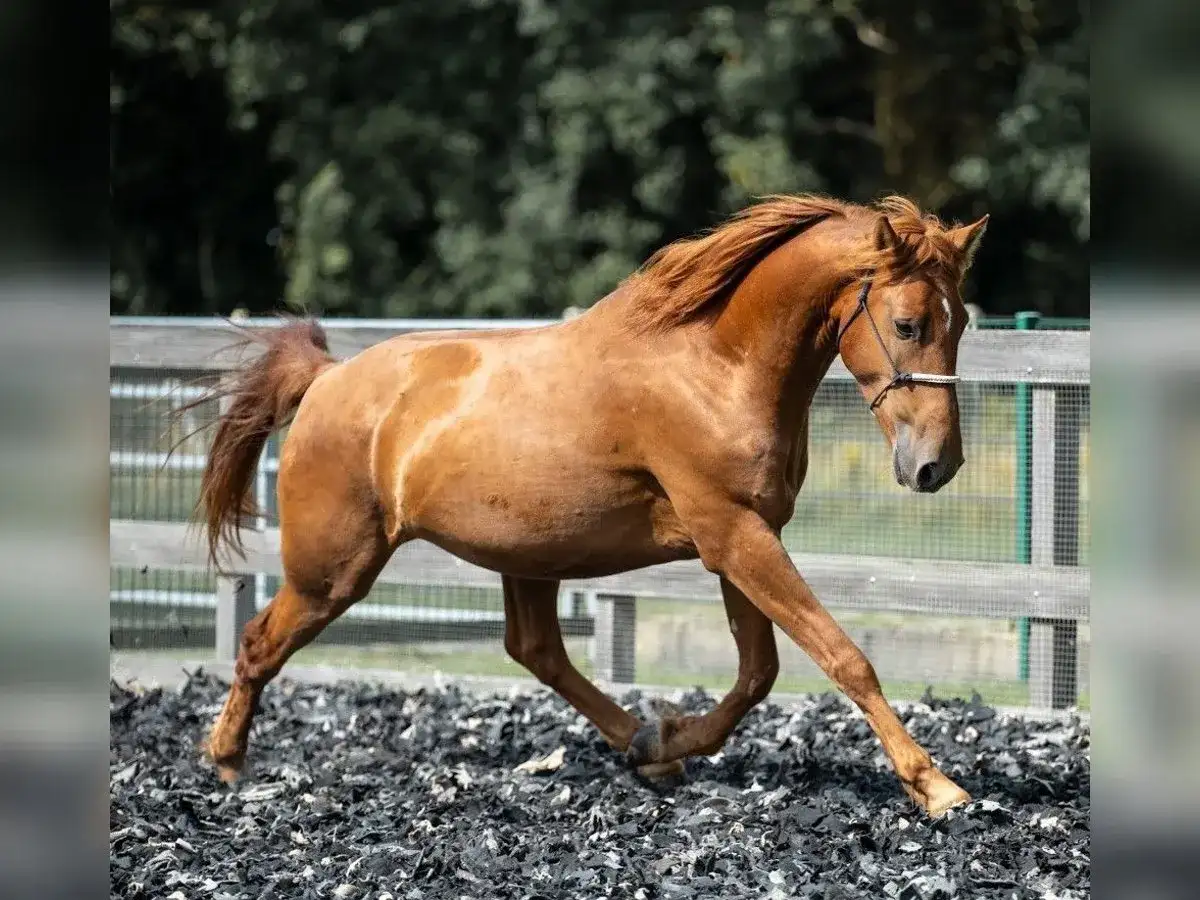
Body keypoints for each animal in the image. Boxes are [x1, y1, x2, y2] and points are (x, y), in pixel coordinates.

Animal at [193, 193, 988, 818]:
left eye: (962, 322)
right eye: (909, 324)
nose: (935, 466)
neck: (716, 369)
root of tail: (326, 380)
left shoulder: (744, 536)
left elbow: (758, 673)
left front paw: (668, 740)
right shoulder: (732, 534)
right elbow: (842, 657)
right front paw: (938, 787)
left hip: (523, 554)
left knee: (536, 650)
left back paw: (642, 743)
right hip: (334, 569)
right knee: (259, 642)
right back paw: (225, 762)